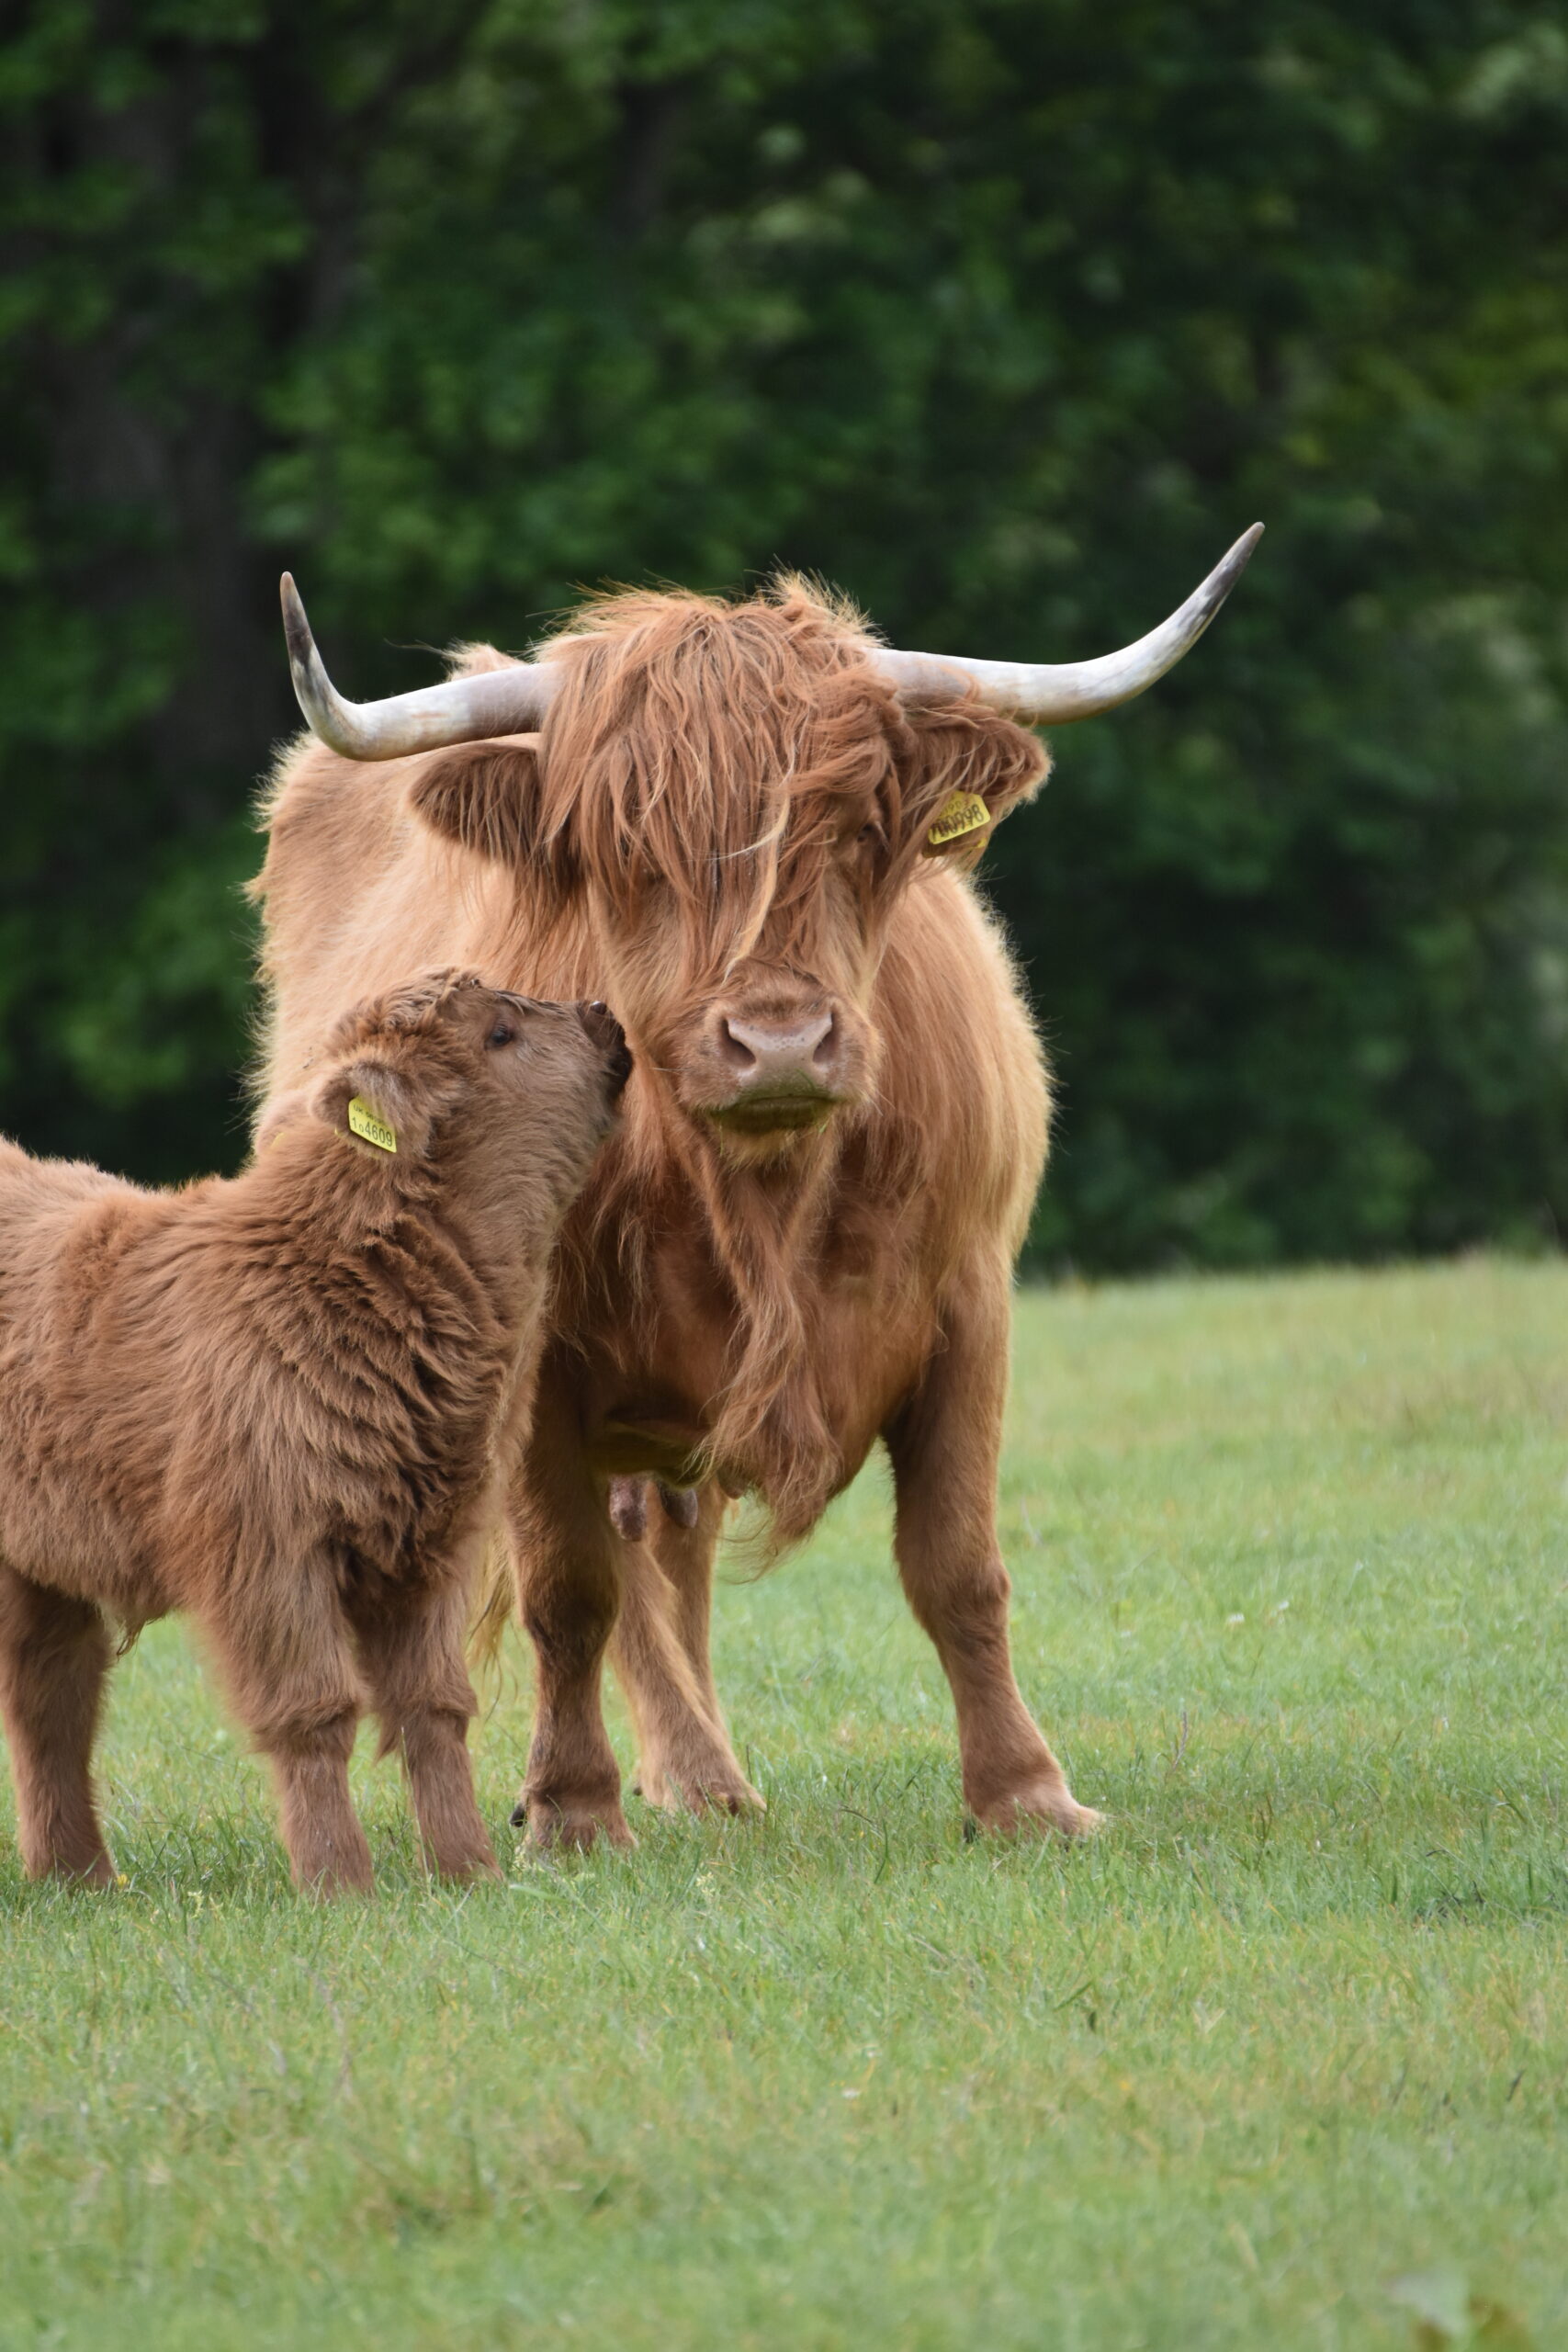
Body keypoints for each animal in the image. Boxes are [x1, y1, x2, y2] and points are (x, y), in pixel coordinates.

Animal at [251, 528, 1261, 1850]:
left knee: (668, 1545)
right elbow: (567, 1587)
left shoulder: (969, 1303)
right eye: (628, 854)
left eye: (860, 827)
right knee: (615, 1563)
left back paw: (704, 1776)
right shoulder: (538, 1355)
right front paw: (572, 1811)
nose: (778, 1042)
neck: (762, 1202)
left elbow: (956, 1564)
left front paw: (1028, 1795)